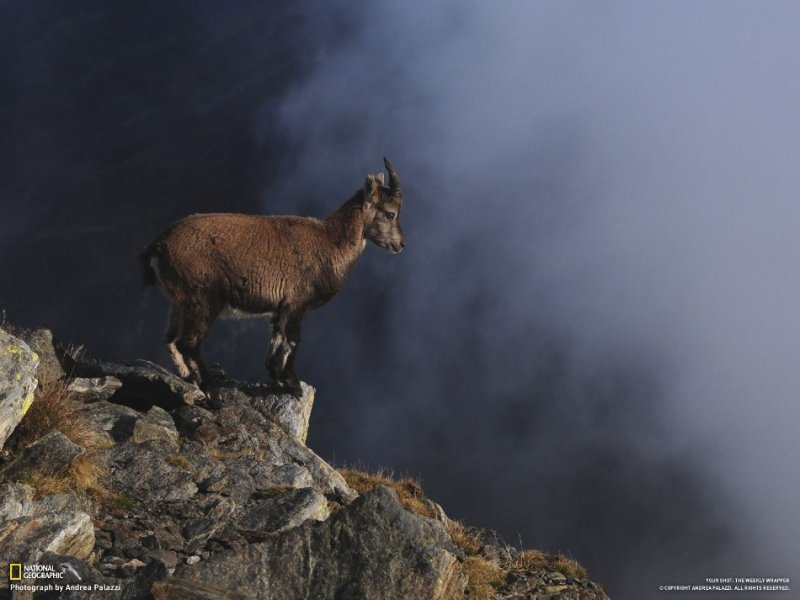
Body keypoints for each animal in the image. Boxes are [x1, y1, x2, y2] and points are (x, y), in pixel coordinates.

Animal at [139, 158, 406, 394]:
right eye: (390, 213)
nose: (401, 244)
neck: (331, 243)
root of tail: (157, 246)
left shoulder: (280, 309)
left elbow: (277, 340)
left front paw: (276, 376)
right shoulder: (297, 303)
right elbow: (293, 341)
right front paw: (293, 384)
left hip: (179, 302)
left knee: (170, 339)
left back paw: (189, 378)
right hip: (203, 299)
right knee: (188, 343)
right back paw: (211, 392)